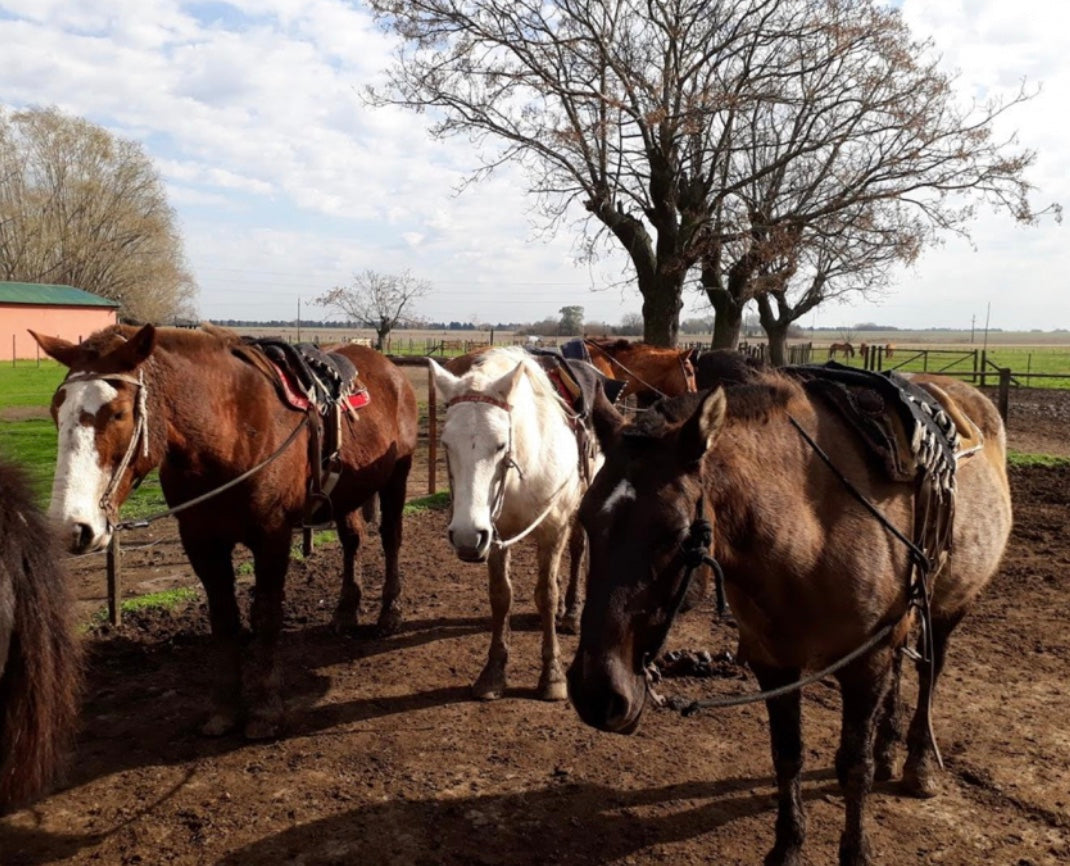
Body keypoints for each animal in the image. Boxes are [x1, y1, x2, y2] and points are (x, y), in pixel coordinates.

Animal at [33, 325, 417, 736]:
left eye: (118, 413)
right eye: (57, 411)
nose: (72, 527)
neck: (230, 432)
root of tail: (390, 369)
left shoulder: (272, 537)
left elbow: (266, 616)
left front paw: (265, 711)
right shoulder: (202, 542)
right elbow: (224, 620)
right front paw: (225, 709)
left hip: (396, 479)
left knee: (391, 539)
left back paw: (389, 613)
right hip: (345, 495)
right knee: (352, 542)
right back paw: (345, 613)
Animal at [425, 346, 594, 702]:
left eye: (501, 444)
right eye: (446, 443)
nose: (464, 537)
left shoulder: (553, 528)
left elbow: (546, 593)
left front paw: (552, 676)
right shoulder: (493, 534)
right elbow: (501, 596)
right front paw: (493, 673)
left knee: (578, 549)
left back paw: (572, 612)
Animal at [569, 372, 1010, 864]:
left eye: (677, 533)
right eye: (585, 517)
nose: (595, 693)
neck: (811, 534)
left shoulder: (865, 662)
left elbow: (854, 765)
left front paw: (856, 850)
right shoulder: (774, 664)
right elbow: (787, 754)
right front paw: (787, 846)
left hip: (948, 610)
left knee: (930, 673)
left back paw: (918, 766)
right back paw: (889, 750)